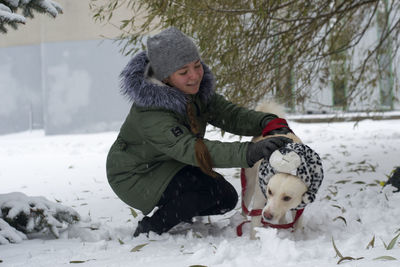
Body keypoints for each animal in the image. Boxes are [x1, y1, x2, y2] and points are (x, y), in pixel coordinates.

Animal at [241, 101, 322, 240]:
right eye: (269, 191)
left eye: (287, 198)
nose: (267, 216)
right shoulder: (259, 200)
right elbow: (255, 223)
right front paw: (254, 241)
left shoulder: (299, 207)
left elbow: (297, 224)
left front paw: (298, 238)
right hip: (250, 185)